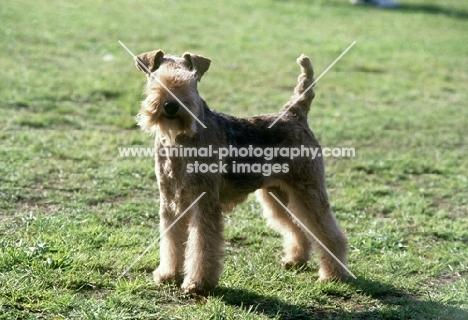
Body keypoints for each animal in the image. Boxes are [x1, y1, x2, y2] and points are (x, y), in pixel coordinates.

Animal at [132, 48, 348, 294]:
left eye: (191, 79)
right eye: (155, 77)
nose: (171, 106)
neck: (179, 140)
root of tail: (294, 113)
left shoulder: (205, 202)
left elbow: (202, 245)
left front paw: (197, 283)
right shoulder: (170, 202)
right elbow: (172, 242)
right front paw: (168, 274)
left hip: (308, 189)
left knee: (329, 233)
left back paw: (332, 275)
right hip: (278, 194)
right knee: (299, 228)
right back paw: (295, 260)